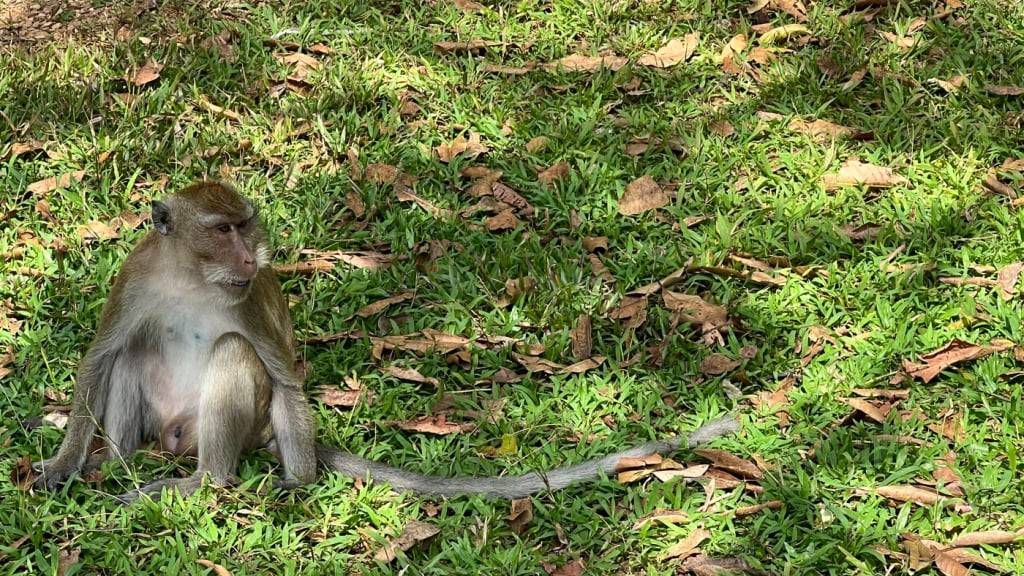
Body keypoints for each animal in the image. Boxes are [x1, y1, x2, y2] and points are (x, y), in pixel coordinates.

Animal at [32, 181, 739, 502]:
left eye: (244, 226)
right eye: (222, 229)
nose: (254, 254)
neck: (190, 276)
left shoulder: (248, 295)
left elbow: (282, 375)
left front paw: (299, 481)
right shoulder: (137, 277)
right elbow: (101, 356)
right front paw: (62, 465)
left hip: (236, 426)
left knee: (235, 358)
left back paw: (204, 482)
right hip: (166, 425)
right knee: (133, 353)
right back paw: (116, 462)